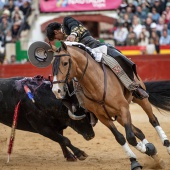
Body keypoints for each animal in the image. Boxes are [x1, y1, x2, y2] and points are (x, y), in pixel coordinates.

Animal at [51, 41, 170, 170]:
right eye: (52, 65)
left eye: (65, 63)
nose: (56, 90)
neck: (96, 85)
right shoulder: (103, 117)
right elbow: (120, 138)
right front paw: (137, 159)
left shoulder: (124, 108)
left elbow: (130, 137)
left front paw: (147, 149)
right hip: (117, 116)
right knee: (138, 131)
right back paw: (156, 156)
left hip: (141, 99)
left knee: (153, 120)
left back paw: (166, 146)